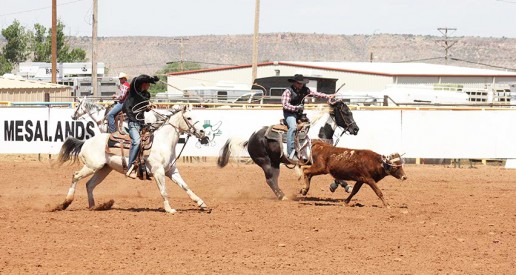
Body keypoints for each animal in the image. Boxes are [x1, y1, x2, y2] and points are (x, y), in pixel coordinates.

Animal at [55, 105, 209, 213]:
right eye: (189, 118)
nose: (203, 133)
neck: (163, 141)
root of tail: (86, 142)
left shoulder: (171, 171)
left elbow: (186, 187)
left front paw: (202, 204)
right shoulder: (158, 171)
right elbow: (164, 191)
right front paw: (169, 209)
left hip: (103, 169)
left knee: (89, 185)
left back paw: (94, 206)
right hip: (92, 166)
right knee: (75, 176)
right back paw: (66, 202)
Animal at [217, 99, 358, 201]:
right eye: (346, 112)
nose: (356, 129)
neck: (318, 135)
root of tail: (250, 138)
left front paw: (341, 186)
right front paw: (346, 186)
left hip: (275, 162)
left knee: (274, 179)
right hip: (264, 161)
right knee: (270, 179)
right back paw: (282, 196)